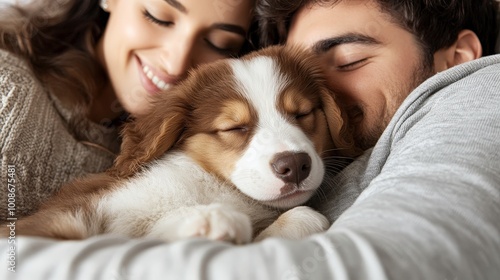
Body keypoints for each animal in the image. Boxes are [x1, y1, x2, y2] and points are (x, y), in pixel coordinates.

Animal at [4, 45, 360, 243]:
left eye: (302, 113)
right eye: (235, 127)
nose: (295, 165)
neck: (211, 184)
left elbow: (301, 217)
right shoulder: (64, 216)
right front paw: (210, 221)